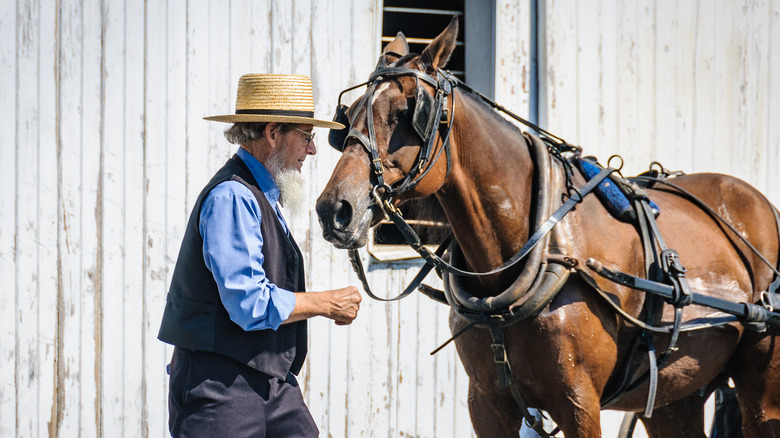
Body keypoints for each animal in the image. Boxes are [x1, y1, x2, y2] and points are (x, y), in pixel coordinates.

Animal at [316, 20, 780, 438]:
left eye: (405, 113)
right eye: (349, 114)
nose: (333, 209)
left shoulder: (578, 403)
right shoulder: (486, 403)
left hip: (761, 388)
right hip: (673, 392)